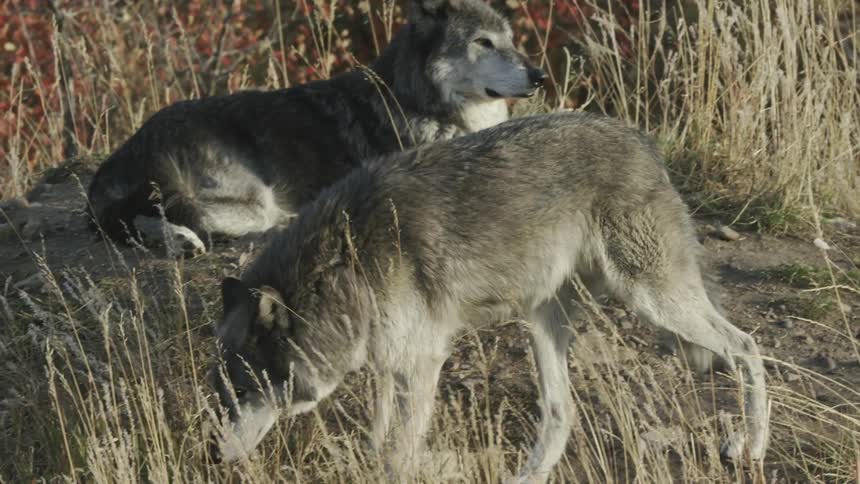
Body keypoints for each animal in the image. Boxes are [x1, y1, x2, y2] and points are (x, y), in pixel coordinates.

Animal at [86, 0, 547, 257]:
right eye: (483, 42)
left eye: (510, 39)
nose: (540, 76)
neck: (419, 101)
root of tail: (116, 162)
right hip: (253, 198)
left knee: (132, 224)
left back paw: (179, 242)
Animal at [208, 112, 769, 482]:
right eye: (222, 391)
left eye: (245, 390)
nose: (213, 454)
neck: (346, 257)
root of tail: (642, 140)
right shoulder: (390, 361)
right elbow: (376, 440)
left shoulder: (423, 360)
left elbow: (396, 455)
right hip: (544, 320)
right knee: (562, 412)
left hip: (650, 298)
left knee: (747, 346)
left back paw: (751, 445)